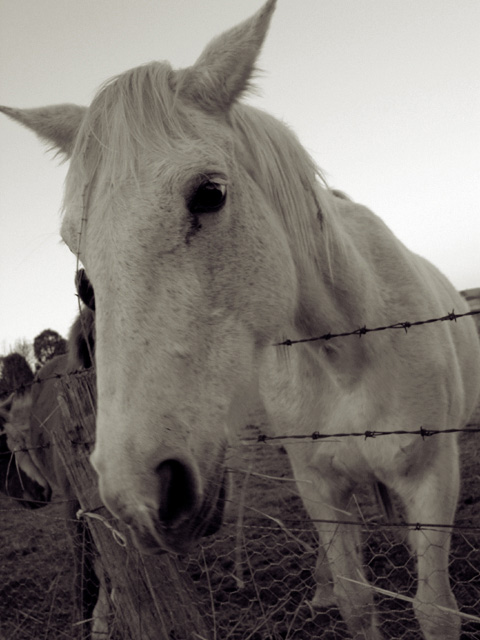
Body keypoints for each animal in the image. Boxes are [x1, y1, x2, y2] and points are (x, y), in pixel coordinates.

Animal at [0, 2, 480, 636]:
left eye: (209, 193)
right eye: (76, 248)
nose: (137, 496)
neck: (346, 354)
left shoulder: (433, 478)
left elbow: (435, 608)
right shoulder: (317, 484)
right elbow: (356, 599)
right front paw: (336, 592)